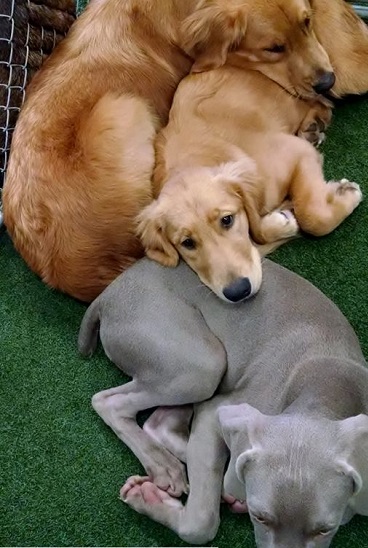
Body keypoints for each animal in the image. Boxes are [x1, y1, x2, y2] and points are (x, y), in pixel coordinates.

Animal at [78, 260, 368, 544]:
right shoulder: (217, 412)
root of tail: (107, 294)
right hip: (199, 362)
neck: (330, 387)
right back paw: (165, 467)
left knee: (160, 424)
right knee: (109, 401)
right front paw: (148, 499)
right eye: (260, 517)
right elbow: (200, 523)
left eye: (325, 529)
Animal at [138, 67, 362, 304]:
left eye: (227, 220)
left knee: (321, 103)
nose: (238, 291)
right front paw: (280, 222)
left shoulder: (294, 151)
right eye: (187, 242)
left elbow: (313, 217)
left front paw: (347, 193)